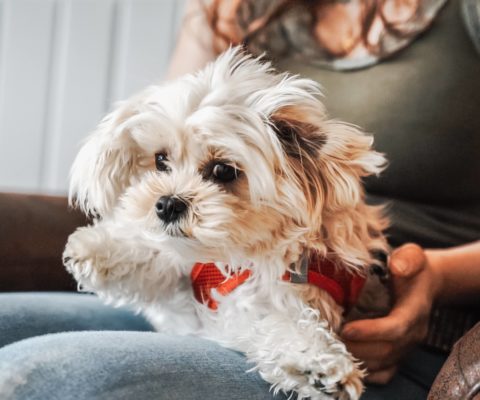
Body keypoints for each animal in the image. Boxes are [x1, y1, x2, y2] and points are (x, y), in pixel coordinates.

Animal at [63, 47, 390, 400]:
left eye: (222, 171)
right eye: (161, 160)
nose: (166, 204)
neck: (239, 253)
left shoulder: (281, 297)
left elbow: (279, 324)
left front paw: (315, 366)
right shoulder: (190, 271)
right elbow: (161, 256)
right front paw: (94, 250)